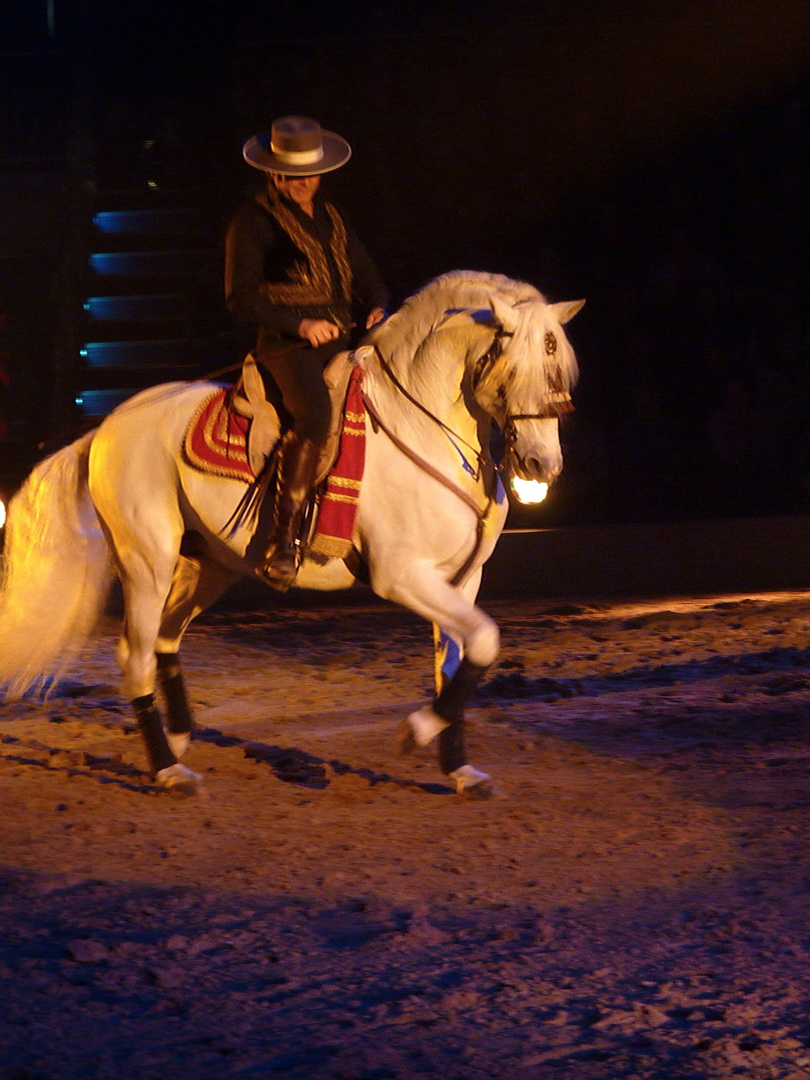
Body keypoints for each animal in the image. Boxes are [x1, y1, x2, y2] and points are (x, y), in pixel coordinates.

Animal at [0, 270, 583, 794]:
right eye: (517, 366)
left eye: (559, 371)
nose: (543, 465)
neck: (424, 429)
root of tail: (108, 426)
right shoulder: (403, 576)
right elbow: (484, 639)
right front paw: (414, 733)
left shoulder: (462, 580)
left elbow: (459, 661)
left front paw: (458, 768)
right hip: (148, 560)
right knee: (136, 655)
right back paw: (169, 771)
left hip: (211, 564)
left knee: (167, 638)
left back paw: (180, 738)